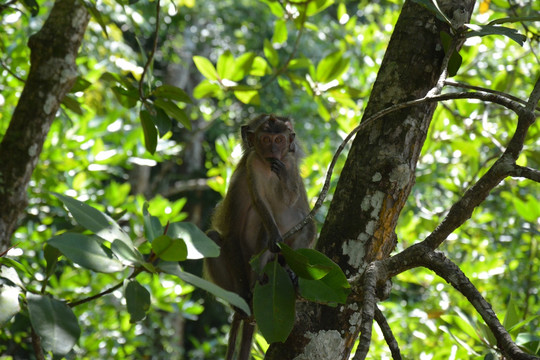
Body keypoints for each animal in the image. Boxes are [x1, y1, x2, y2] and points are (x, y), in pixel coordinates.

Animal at [206, 114, 316, 358]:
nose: (281, 148)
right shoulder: (245, 175)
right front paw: (244, 296)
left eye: (282, 136)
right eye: (265, 138)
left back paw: (287, 272)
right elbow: (231, 236)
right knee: (214, 238)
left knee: (307, 227)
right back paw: (244, 300)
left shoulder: (290, 167)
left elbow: (296, 204)